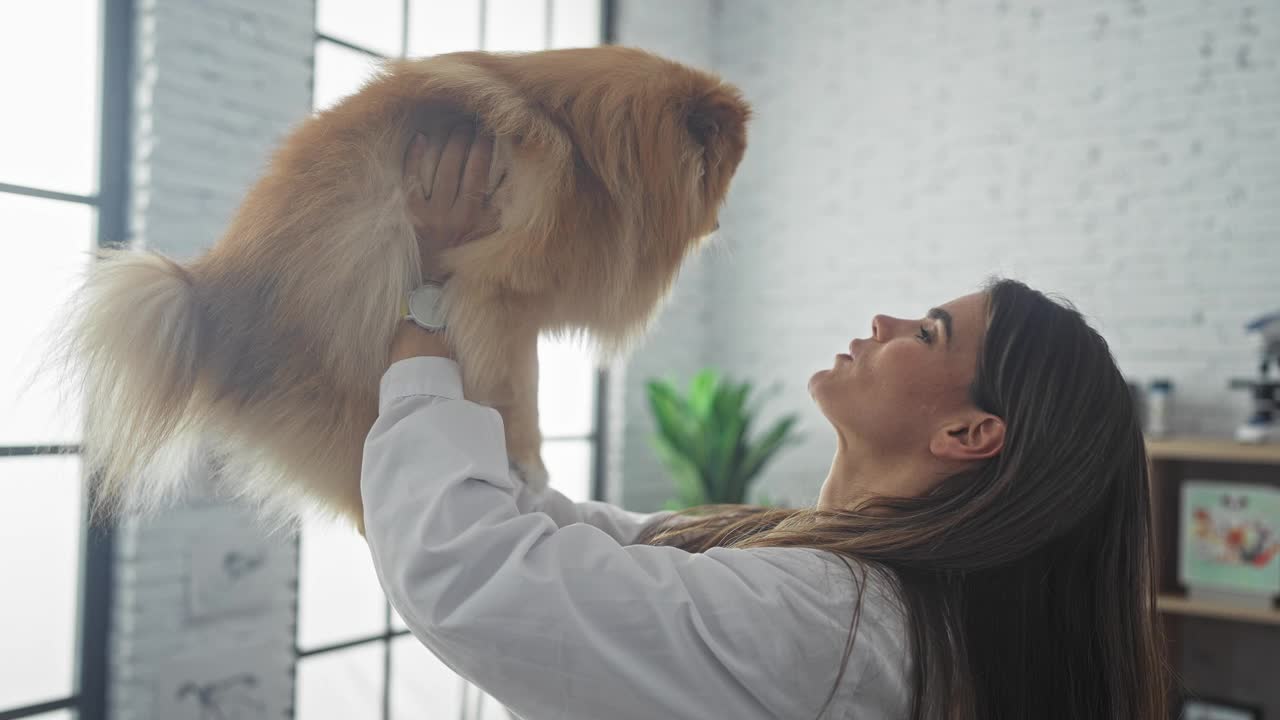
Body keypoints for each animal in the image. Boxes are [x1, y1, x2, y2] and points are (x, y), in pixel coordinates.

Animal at [57, 46, 747, 527]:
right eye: (723, 174)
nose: (722, 220)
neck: (588, 156)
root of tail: (205, 297)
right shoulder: (501, 300)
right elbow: (520, 392)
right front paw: (529, 462)